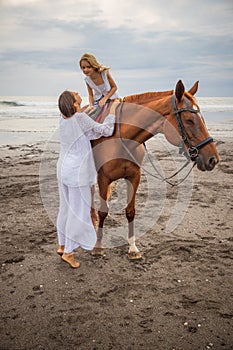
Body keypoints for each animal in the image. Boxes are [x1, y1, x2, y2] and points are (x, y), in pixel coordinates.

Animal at [91, 80, 220, 260]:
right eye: (189, 120)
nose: (212, 159)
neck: (121, 138)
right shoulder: (103, 177)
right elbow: (102, 211)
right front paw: (98, 246)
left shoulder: (134, 177)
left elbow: (130, 211)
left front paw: (133, 248)